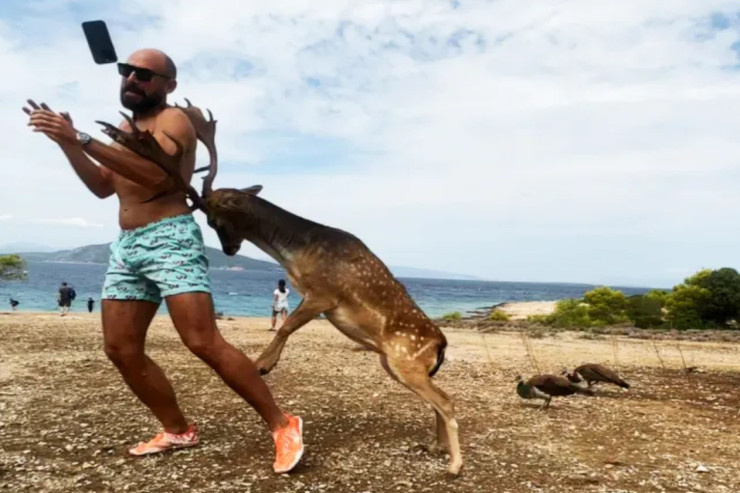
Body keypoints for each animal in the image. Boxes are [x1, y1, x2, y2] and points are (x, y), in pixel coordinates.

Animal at [94, 101, 462, 476]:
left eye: (213, 219)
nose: (229, 250)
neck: (296, 254)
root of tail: (441, 344)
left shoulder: (325, 292)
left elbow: (286, 325)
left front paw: (262, 364)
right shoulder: (313, 294)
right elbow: (288, 325)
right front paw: (264, 362)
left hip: (406, 358)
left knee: (446, 401)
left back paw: (455, 464)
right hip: (395, 363)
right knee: (439, 399)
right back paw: (436, 447)